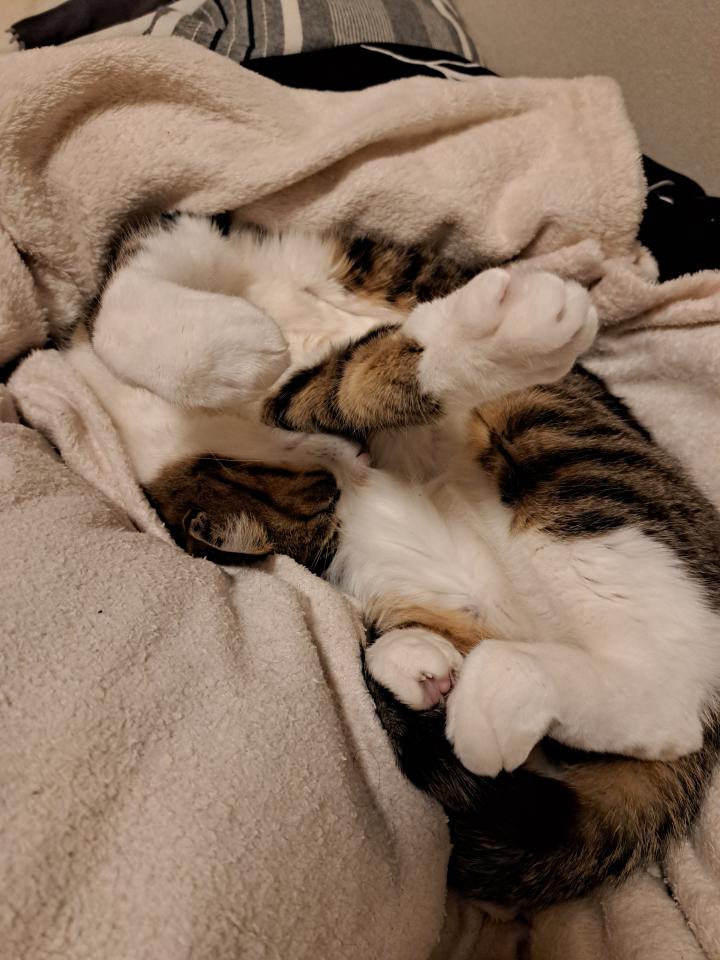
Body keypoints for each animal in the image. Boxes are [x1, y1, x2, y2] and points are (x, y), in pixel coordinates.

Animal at [65, 212, 720, 909]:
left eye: (329, 465)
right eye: (323, 493)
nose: (357, 457)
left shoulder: (192, 233)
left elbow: (131, 308)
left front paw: (244, 348)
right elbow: (310, 378)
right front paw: (249, 353)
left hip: (558, 438)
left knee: (671, 686)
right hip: (410, 574)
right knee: (652, 702)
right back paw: (449, 674)